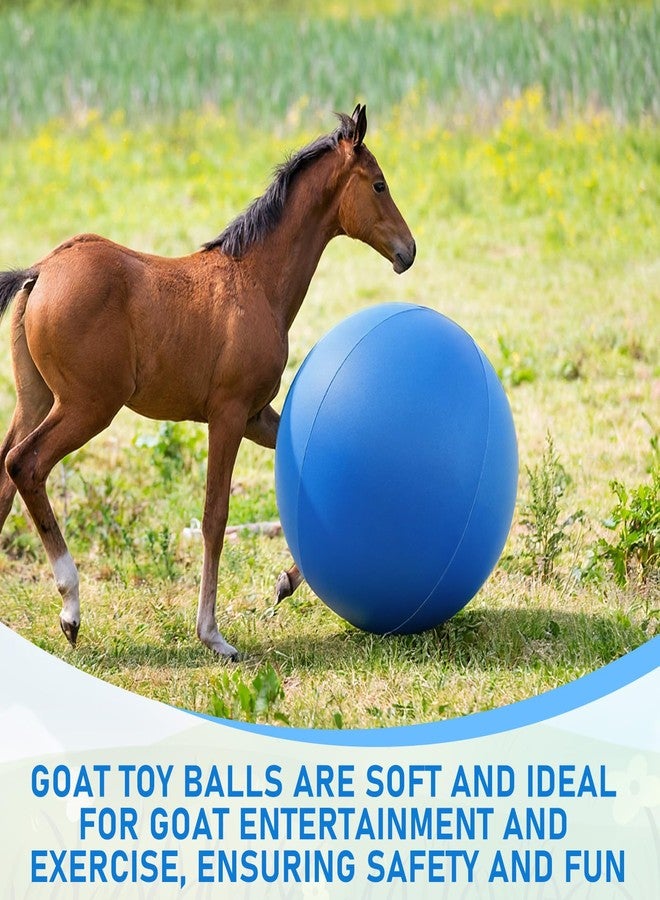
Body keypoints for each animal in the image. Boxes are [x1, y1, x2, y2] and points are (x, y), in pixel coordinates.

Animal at [0, 104, 415, 659]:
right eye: (378, 184)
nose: (408, 251)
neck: (257, 280)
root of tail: (41, 271)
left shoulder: (257, 415)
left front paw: (285, 582)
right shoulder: (228, 414)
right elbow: (215, 517)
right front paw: (213, 635)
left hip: (35, 400)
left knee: (3, 480)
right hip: (87, 407)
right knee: (24, 465)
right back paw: (71, 608)